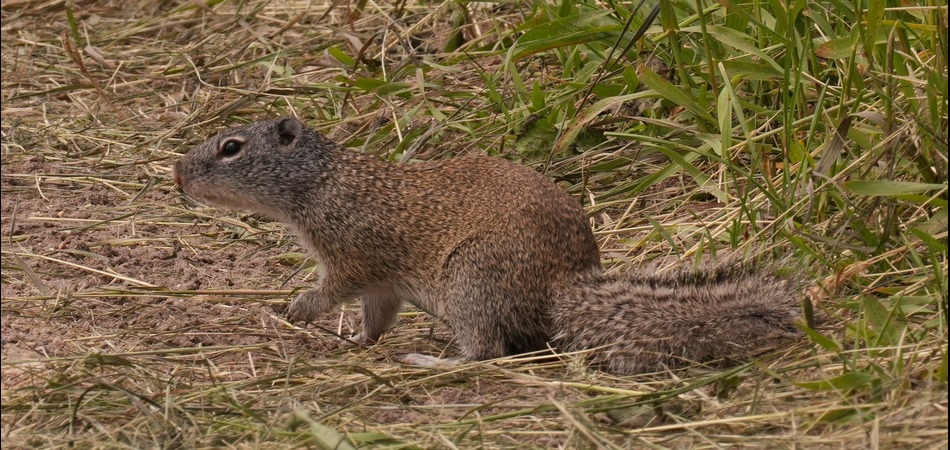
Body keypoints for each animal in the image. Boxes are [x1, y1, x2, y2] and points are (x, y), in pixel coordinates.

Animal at [173, 117, 804, 374]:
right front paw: (356, 341)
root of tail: (563, 287)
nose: (178, 175)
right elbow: (376, 315)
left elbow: (333, 288)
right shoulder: (382, 285)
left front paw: (297, 309)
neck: (319, 182)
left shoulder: (353, 252)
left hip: (471, 279)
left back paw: (430, 361)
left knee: (487, 350)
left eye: (231, 148)